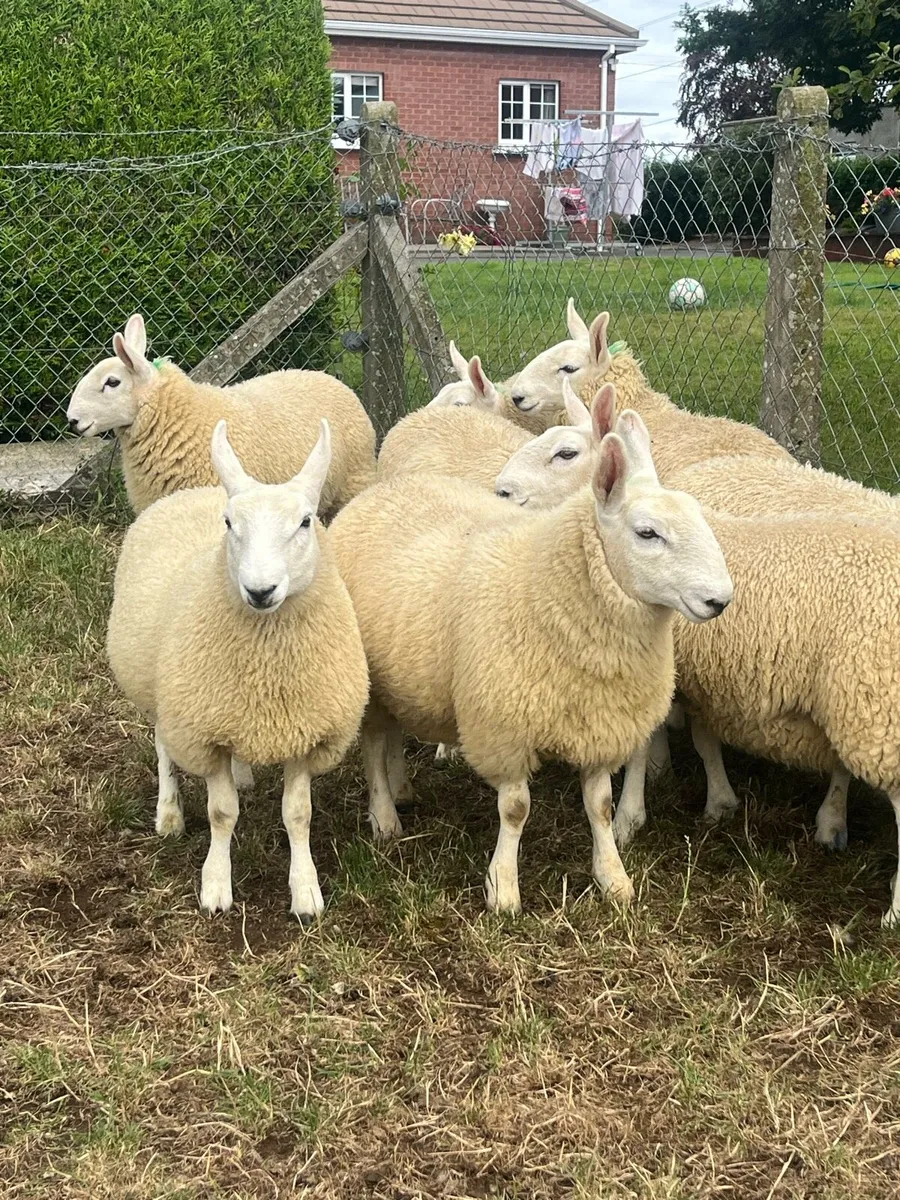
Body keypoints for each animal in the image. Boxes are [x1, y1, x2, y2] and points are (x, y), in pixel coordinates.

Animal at [106, 419, 369, 920]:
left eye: (306, 521)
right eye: (229, 523)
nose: (260, 590)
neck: (265, 667)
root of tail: (190, 492)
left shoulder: (305, 731)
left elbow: (298, 814)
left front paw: (306, 891)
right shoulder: (204, 732)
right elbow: (221, 813)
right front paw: (215, 885)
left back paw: (243, 774)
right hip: (163, 692)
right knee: (163, 746)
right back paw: (169, 813)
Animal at [328, 431, 732, 914]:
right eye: (647, 533)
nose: (720, 599)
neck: (551, 588)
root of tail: (379, 491)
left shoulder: (600, 723)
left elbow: (600, 806)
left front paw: (613, 878)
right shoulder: (504, 729)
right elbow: (516, 809)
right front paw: (503, 888)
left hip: (401, 673)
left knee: (391, 733)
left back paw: (401, 787)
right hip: (367, 679)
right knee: (373, 744)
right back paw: (385, 816)